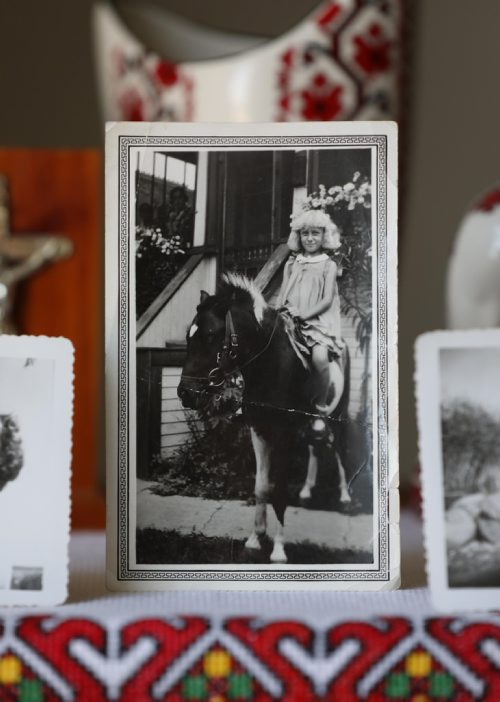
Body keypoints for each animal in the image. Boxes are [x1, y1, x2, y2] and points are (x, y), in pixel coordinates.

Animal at [179, 272, 352, 564]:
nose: (185, 394)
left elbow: (279, 490)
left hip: (339, 413)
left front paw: (279, 551)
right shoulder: (258, 431)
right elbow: (261, 487)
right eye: (188, 337)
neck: (268, 363)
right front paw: (254, 539)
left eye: (211, 335)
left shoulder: (283, 434)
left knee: (340, 447)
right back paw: (307, 491)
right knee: (315, 446)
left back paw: (345, 496)